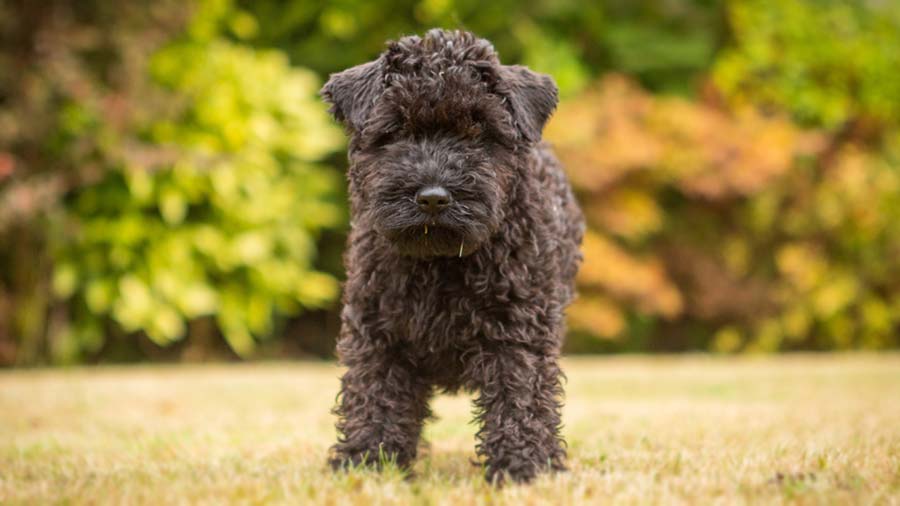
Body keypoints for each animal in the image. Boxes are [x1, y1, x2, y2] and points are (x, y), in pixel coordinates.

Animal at [322, 28, 584, 486]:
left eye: (477, 131)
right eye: (397, 130)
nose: (433, 197)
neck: (440, 262)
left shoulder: (517, 330)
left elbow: (520, 396)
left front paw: (524, 466)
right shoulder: (378, 331)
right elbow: (374, 395)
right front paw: (368, 462)